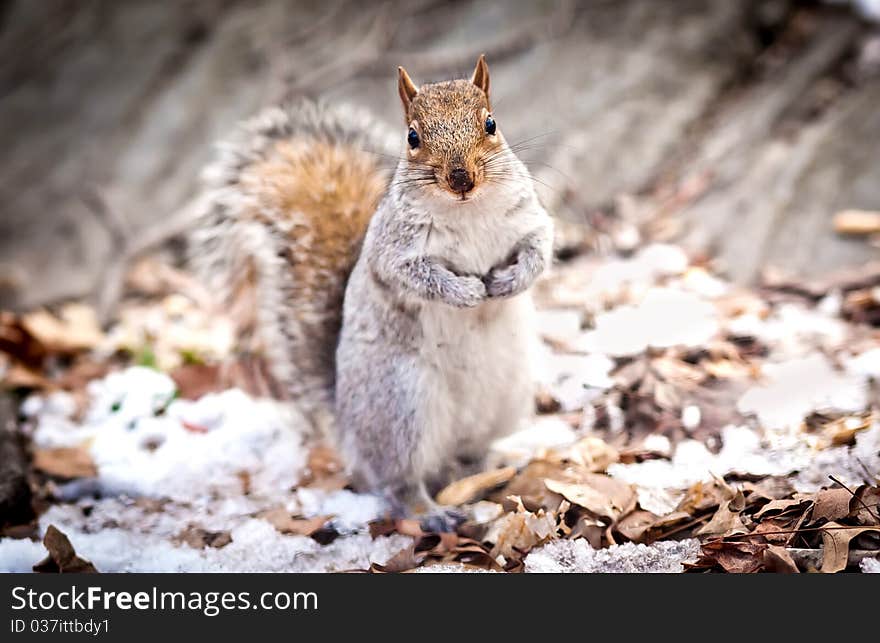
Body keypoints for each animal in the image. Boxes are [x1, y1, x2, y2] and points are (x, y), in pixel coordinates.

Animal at [190, 55, 552, 528]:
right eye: (412, 137)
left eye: (491, 123)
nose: (461, 178)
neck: (467, 210)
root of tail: (347, 432)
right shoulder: (392, 252)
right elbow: (414, 277)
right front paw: (465, 292)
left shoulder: (530, 222)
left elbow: (539, 252)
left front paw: (509, 281)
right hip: (401, 407)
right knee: (398, 483)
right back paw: (431, 513)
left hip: (503, 399)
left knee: (465, 456)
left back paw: (485, 473)